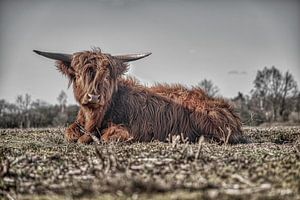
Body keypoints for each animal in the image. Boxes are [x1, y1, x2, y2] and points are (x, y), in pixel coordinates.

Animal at [33, 49, 248, 145]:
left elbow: (110, 136)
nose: (93, 97)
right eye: (78, 75)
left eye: (107, 76)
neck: (94, 119)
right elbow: (70, 133)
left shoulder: (135, 130)